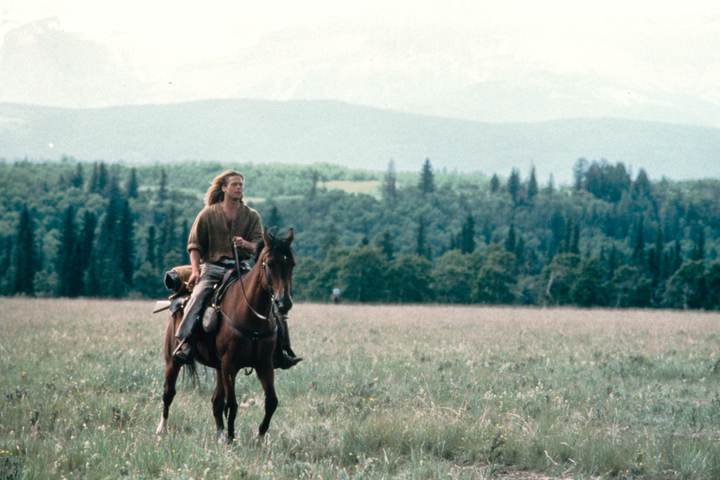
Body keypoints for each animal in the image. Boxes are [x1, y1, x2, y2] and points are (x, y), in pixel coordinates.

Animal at [157, 229, 296, 442]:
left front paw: (259, 436)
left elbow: (271, 402)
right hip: (173, 360)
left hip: (218, 367)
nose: (283, 303)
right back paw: (162, 429)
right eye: (270, 263)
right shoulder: (230, 364)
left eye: (292, 264)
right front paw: (231, 439)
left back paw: (220, 434)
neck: (250, 312)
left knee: (216, 401)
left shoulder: (264, 364)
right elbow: (232, 405)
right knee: (168, 392)